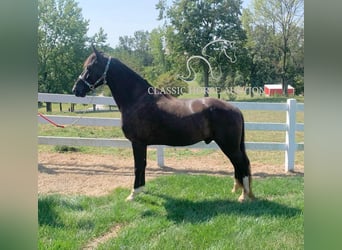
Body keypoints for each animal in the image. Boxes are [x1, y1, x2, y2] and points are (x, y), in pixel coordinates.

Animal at [72, 47, 254, 202]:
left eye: (90, 67)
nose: (76, 89)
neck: (137, 99)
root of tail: (235, 109)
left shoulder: (137, 143)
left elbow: (138, 166)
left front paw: (133, 194)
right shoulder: (142, 144)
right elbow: (143, 165)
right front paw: (141, 190)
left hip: (229, 145)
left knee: (242, 163)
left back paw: (243, 196)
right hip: (229, 145)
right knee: (238, 164)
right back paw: (237, 190)